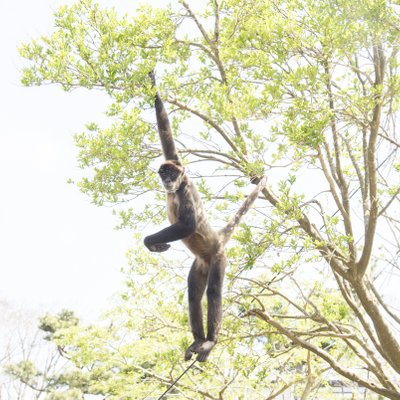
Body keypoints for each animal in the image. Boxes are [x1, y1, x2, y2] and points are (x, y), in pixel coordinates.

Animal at [144, 72, 266, 362]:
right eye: (163, 173)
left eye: (171, 175)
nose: (167, 180)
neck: (177, 188)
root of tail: (218, 238)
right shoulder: (175, 161)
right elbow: (166, 132)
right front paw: (154, 86)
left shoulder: (186, 188)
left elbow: (188, 225)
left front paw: (150, 242)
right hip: (200, 265)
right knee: (193, 293)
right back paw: (198, 340)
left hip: (218, 258)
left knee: (212, 292)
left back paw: (210, 341)